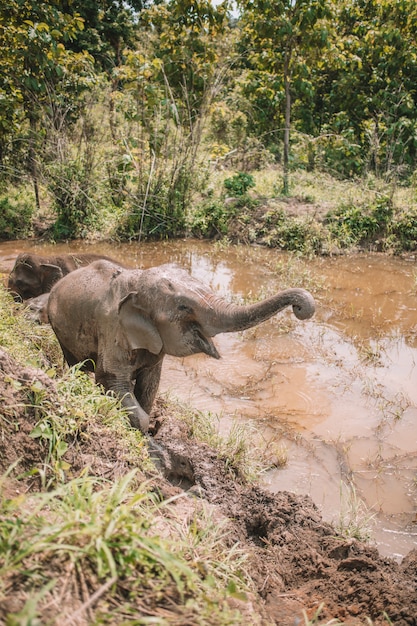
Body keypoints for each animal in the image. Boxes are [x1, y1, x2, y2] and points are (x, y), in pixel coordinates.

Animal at [47, 258, 316, 434]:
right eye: (184, 307)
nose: (300, 308)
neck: (138, 279)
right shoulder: (112, 327)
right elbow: (111, 379)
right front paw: (142, 432)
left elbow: (150, 385)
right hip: (58, 327)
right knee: (75, 363)